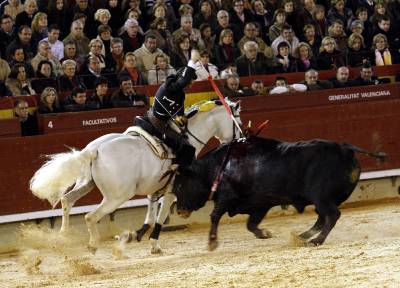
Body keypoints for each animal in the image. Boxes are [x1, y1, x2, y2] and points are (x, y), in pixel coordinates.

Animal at [29, 100, 242, 253]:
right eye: (237, 121)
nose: (240, 139)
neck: (186, 137)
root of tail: (94, 149)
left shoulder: (154, 189)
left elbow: (151, 213)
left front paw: (135, 235)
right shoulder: (171, 191)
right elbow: (160, 216)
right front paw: (154, 245)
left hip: (87, 184)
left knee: (67, 200)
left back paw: (63, 236)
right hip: (118, 196)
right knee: (90, 216)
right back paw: (92, 244)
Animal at [172, 137, 384, 250]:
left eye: (180, 185)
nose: (179, 210)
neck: (220, 166)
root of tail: (345, 148)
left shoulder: (226, 197)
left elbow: (215, 216)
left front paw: (212, 242)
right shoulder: (260, 204)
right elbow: (251, 224)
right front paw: (264, 233)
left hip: (321, 197)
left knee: (331, 215)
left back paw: (315, 241)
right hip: (325, 199)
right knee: (322, 217)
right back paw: (303, 236)